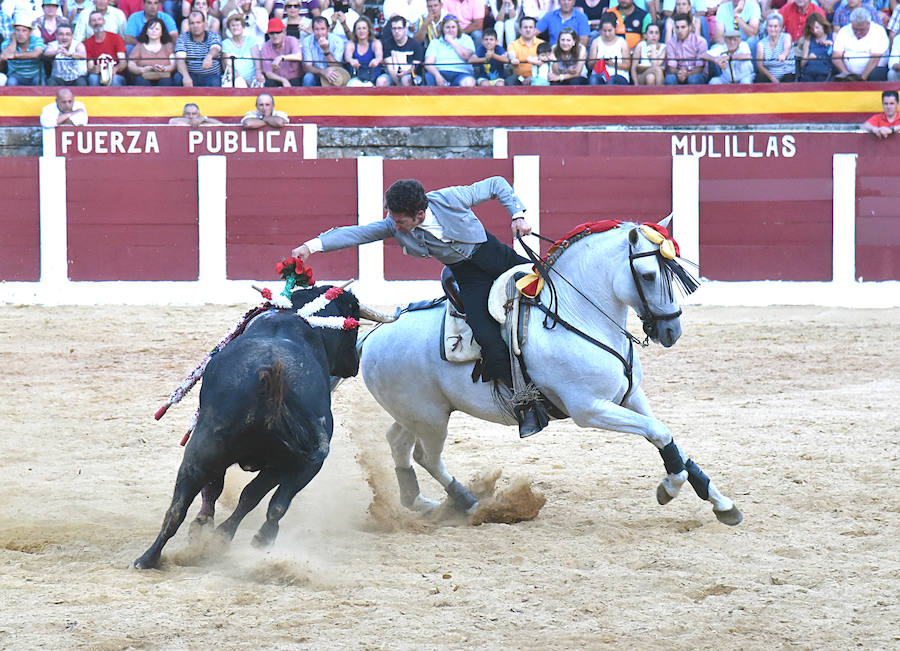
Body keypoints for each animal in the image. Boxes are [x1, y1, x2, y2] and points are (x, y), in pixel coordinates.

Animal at [134, 288, 358, 568]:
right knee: (265, 501)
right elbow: (256, 498)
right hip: (288, 460)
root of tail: (268, 380)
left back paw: (149, 558)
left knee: (179, 505)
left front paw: (203, 527)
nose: (355, 362)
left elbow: (220, 491)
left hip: (204, 447)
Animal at [356, 222, 740, 528]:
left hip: (416, 414)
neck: (578, 315)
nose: (671, 330)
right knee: (427, 456)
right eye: (648, 275)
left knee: (398, 443)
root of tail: (372, 336)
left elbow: (668, 437)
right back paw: (470, 504)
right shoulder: (589, 409)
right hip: (431, 418)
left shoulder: (629, 396)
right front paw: (669, 488)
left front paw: (721, 503)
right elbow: (658, 432)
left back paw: (421, 502)